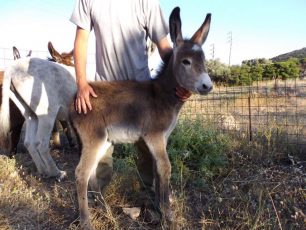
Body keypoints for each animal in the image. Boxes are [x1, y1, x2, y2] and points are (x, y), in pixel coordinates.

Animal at [70, 6, 212, 228]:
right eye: (186, 62)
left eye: (203, 61)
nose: (208, 86)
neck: (163, 94)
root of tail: (74, 100)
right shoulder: (154, 136)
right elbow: (165, 167)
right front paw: (168, 215)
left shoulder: (160, 139)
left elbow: (156, 169)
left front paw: (159, 205)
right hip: (93, 139)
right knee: (81, 174)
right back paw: (86, 222)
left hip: (101, 141)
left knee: (92, 174)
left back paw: (104, 208)